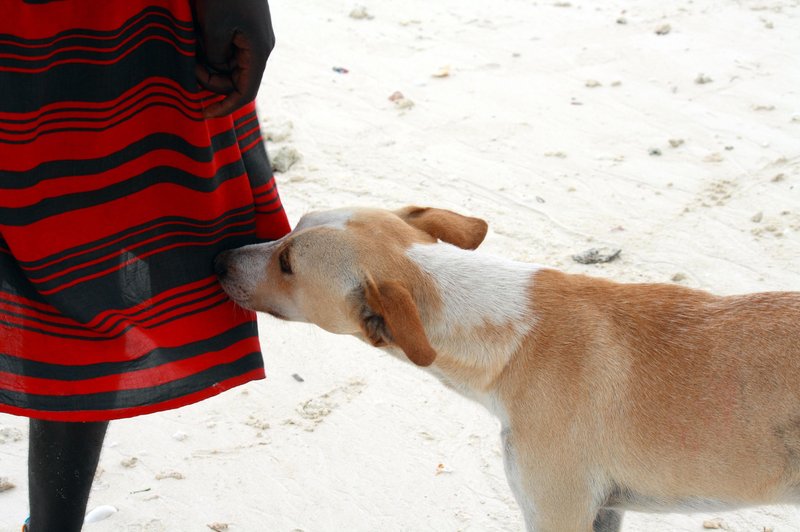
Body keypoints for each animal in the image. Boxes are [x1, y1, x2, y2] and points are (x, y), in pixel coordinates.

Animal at [214, 207, 800, 532]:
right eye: (290, 227)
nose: (219, 257)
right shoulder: (602, 513)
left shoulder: (559, 513)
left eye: (287, 264)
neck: (514, 337)